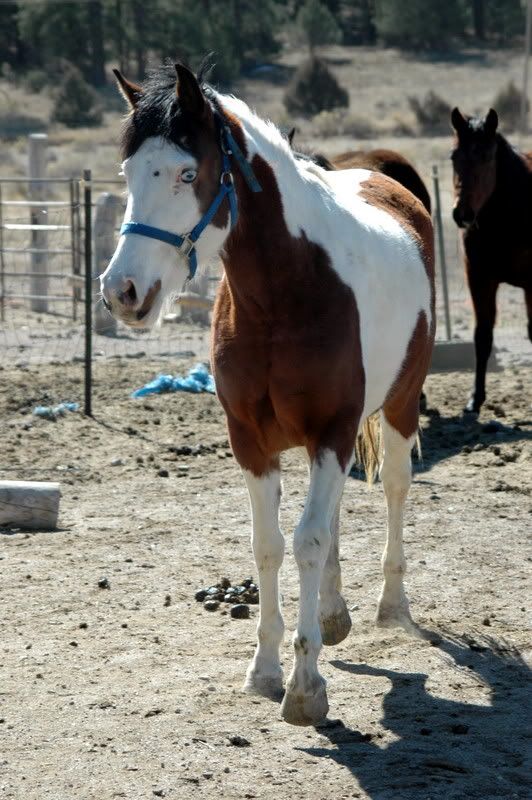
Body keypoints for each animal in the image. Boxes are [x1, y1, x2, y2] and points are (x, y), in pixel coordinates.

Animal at [101, 62, 436, 724]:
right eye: (128, 172)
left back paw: (391, 607)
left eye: (188, 173)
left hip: (399, 403)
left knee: (392, 489)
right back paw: (332, 613)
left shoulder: (332, 430)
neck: (288, 293)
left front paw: (306, 688)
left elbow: (307, 540)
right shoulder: (253, 441)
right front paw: (265, 668)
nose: (121, 290)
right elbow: (271, 545)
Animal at [448, 108, 532, 412]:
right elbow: (482, 336)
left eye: (486, 157)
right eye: (454, 157)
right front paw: (475, 398)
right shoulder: (480, 279)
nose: (462, 214)